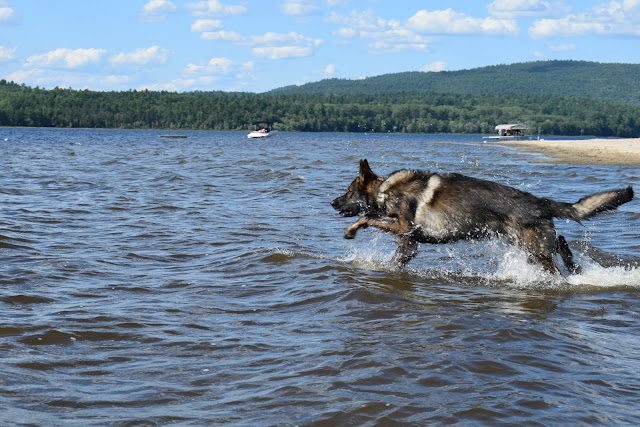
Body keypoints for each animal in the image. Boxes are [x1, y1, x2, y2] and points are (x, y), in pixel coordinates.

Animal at [332, 160, 632, 274]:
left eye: (348, 192)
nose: (332, 202)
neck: (384, 192)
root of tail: (539, 202)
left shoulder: (404, 227)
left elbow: (368, 219)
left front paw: (351, 230)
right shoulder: (408, 242)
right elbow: (394, 255)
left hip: (533, 249)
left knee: (555, 262)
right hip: (524, 243)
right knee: (560, 240)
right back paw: (573, 264)